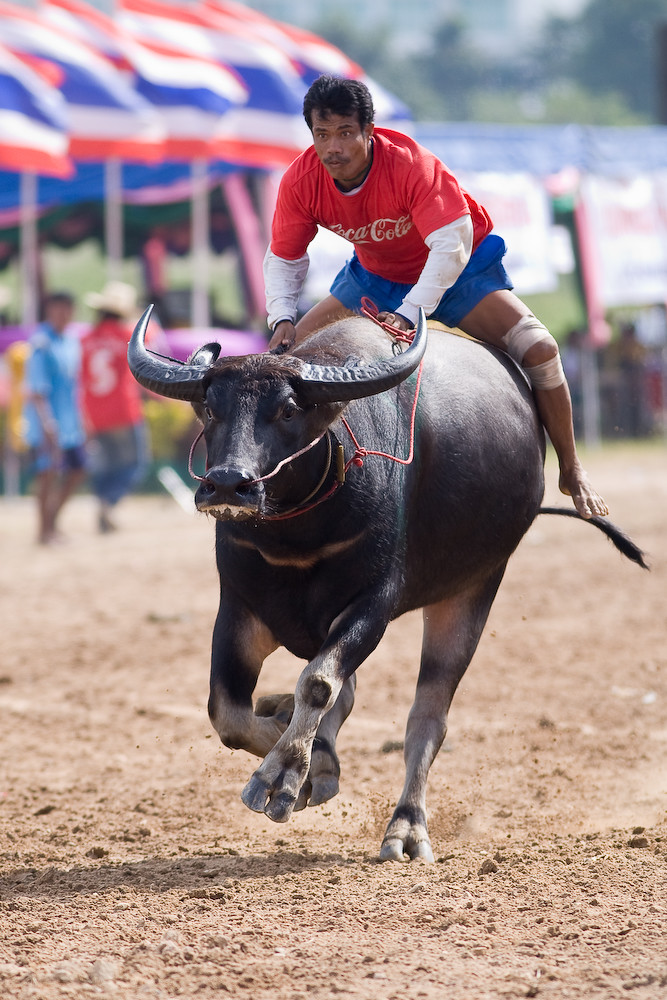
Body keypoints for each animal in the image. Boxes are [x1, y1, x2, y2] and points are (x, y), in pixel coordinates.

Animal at [128, 306, 646, 862]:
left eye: (287, 410)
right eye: (210, 409)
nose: (227, 484)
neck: (298, 537)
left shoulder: (372, 606)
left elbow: (317, 682)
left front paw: (285, 774)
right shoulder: (239, 609)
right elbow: (227, 711)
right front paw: (301, 750)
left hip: (474, 588)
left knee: (428, 717)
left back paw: (407, 827)